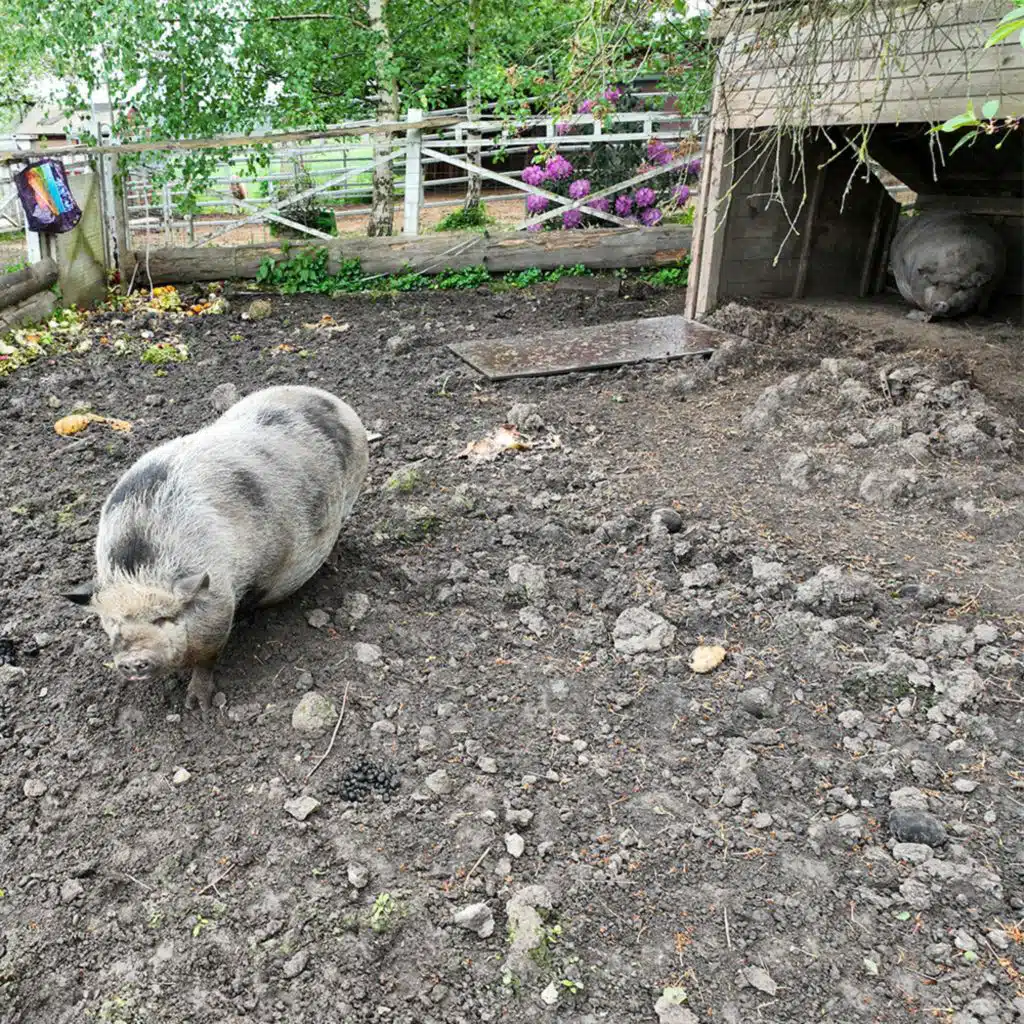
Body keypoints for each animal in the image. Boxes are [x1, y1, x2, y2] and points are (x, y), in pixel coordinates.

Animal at [64, 385, 369, 709]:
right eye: (112, 621)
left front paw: (197, 704)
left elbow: (207, 659)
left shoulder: (220, 603)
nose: (134, 659)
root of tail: (335, 401)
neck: (140, 564)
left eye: (163, 619)